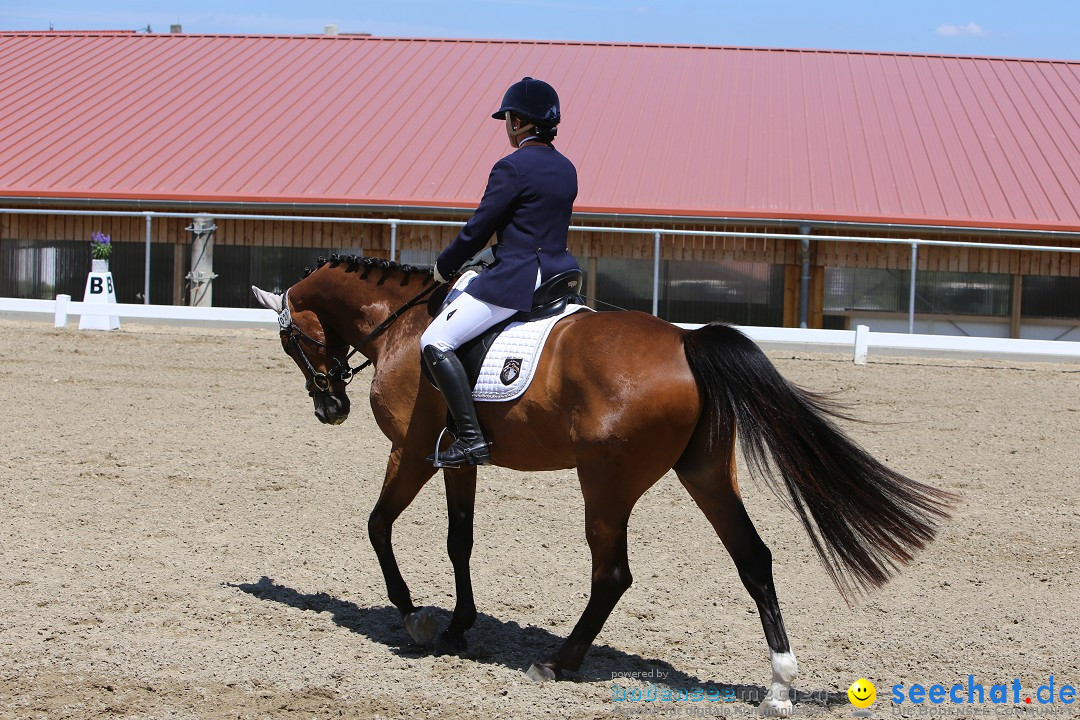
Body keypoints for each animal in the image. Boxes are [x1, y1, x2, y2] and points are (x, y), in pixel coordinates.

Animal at [252, 254, 954, 716]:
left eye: (290, 341)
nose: (330, 408)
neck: (400, 327)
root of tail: (687, 343)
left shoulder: (414, 454)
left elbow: (378, 525)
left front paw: (414, 618)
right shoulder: (459, 460)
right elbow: (460, 541)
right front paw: (457, 627)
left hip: (607, 481)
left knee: (612, 573)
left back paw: (559, 661)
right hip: (705, 474)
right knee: (753, 559)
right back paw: (779, 685)